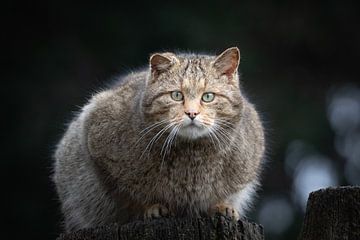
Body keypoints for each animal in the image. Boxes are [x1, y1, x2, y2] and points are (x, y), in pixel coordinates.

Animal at [52, 47, 264, 232]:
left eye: (208, 96)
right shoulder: (97, 143)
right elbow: (128, 196)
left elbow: (226, 195)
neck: (191, 154)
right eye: (176, 95)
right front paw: (152, 207)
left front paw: (221, 206)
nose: (192, 113)